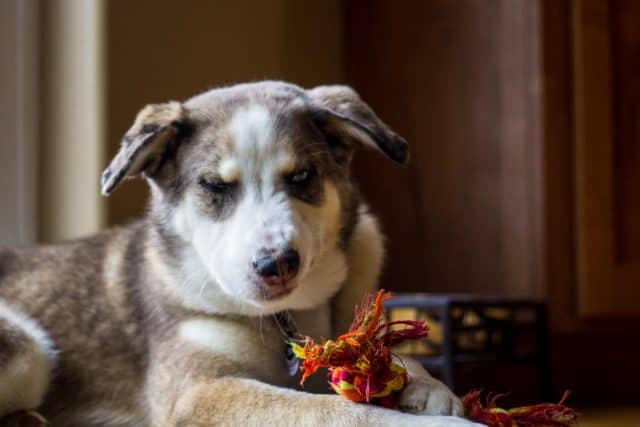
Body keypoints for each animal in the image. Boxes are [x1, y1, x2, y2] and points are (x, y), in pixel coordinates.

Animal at [0, 82, 478, 426]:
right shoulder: (199, 391)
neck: (284, 319)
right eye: (214, 185)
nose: (277, 264)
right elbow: (340, 412)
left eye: (301, 177)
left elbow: (388, 361)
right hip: (27, 347)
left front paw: (428, 388)